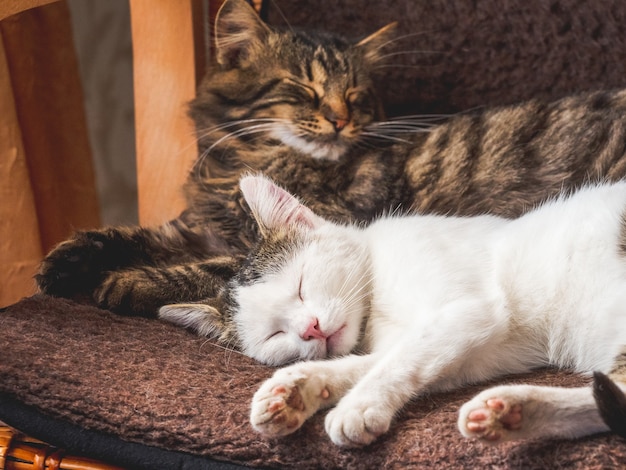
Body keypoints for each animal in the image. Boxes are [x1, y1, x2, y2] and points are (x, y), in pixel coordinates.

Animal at [37, 0, 624, 346]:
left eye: (357, 94)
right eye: (305, 89)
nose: (342, 119)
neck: (239, 163)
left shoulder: (300, 228)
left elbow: (205, 267)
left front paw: (127, 282)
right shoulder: (193, 226)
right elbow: (124, 234)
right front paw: (62, 264)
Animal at [163, 174, 624, 446]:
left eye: (301, 286)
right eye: (274, 334)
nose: (311, 329)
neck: (374, 308)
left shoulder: (469, 311)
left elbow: (399, 361)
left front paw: (358, 407)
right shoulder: (471, 351)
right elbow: (374, 362)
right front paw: (295, 389)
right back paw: (513, 413)